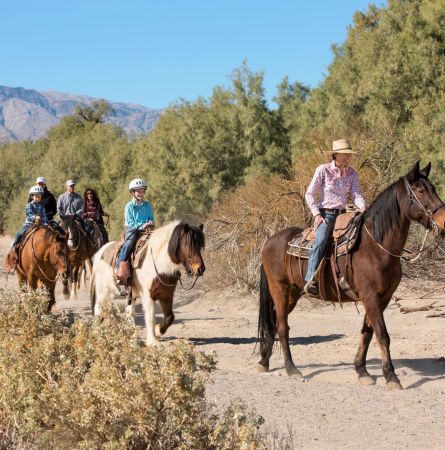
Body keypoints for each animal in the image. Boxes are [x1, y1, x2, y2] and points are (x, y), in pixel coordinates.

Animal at [256, 163, 444, 390]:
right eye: (421, 191)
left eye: (434, 188)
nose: (443, 221)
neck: (375, 247)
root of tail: (269, 241)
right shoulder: (370, 297)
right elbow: (382, 335)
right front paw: (391, 376)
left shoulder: (382, 298)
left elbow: (367, 332)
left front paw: (362, 371)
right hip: (279, 288)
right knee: (283, 326)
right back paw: (291, 368)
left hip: (292, 292)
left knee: (274, 322)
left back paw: (264, 361)